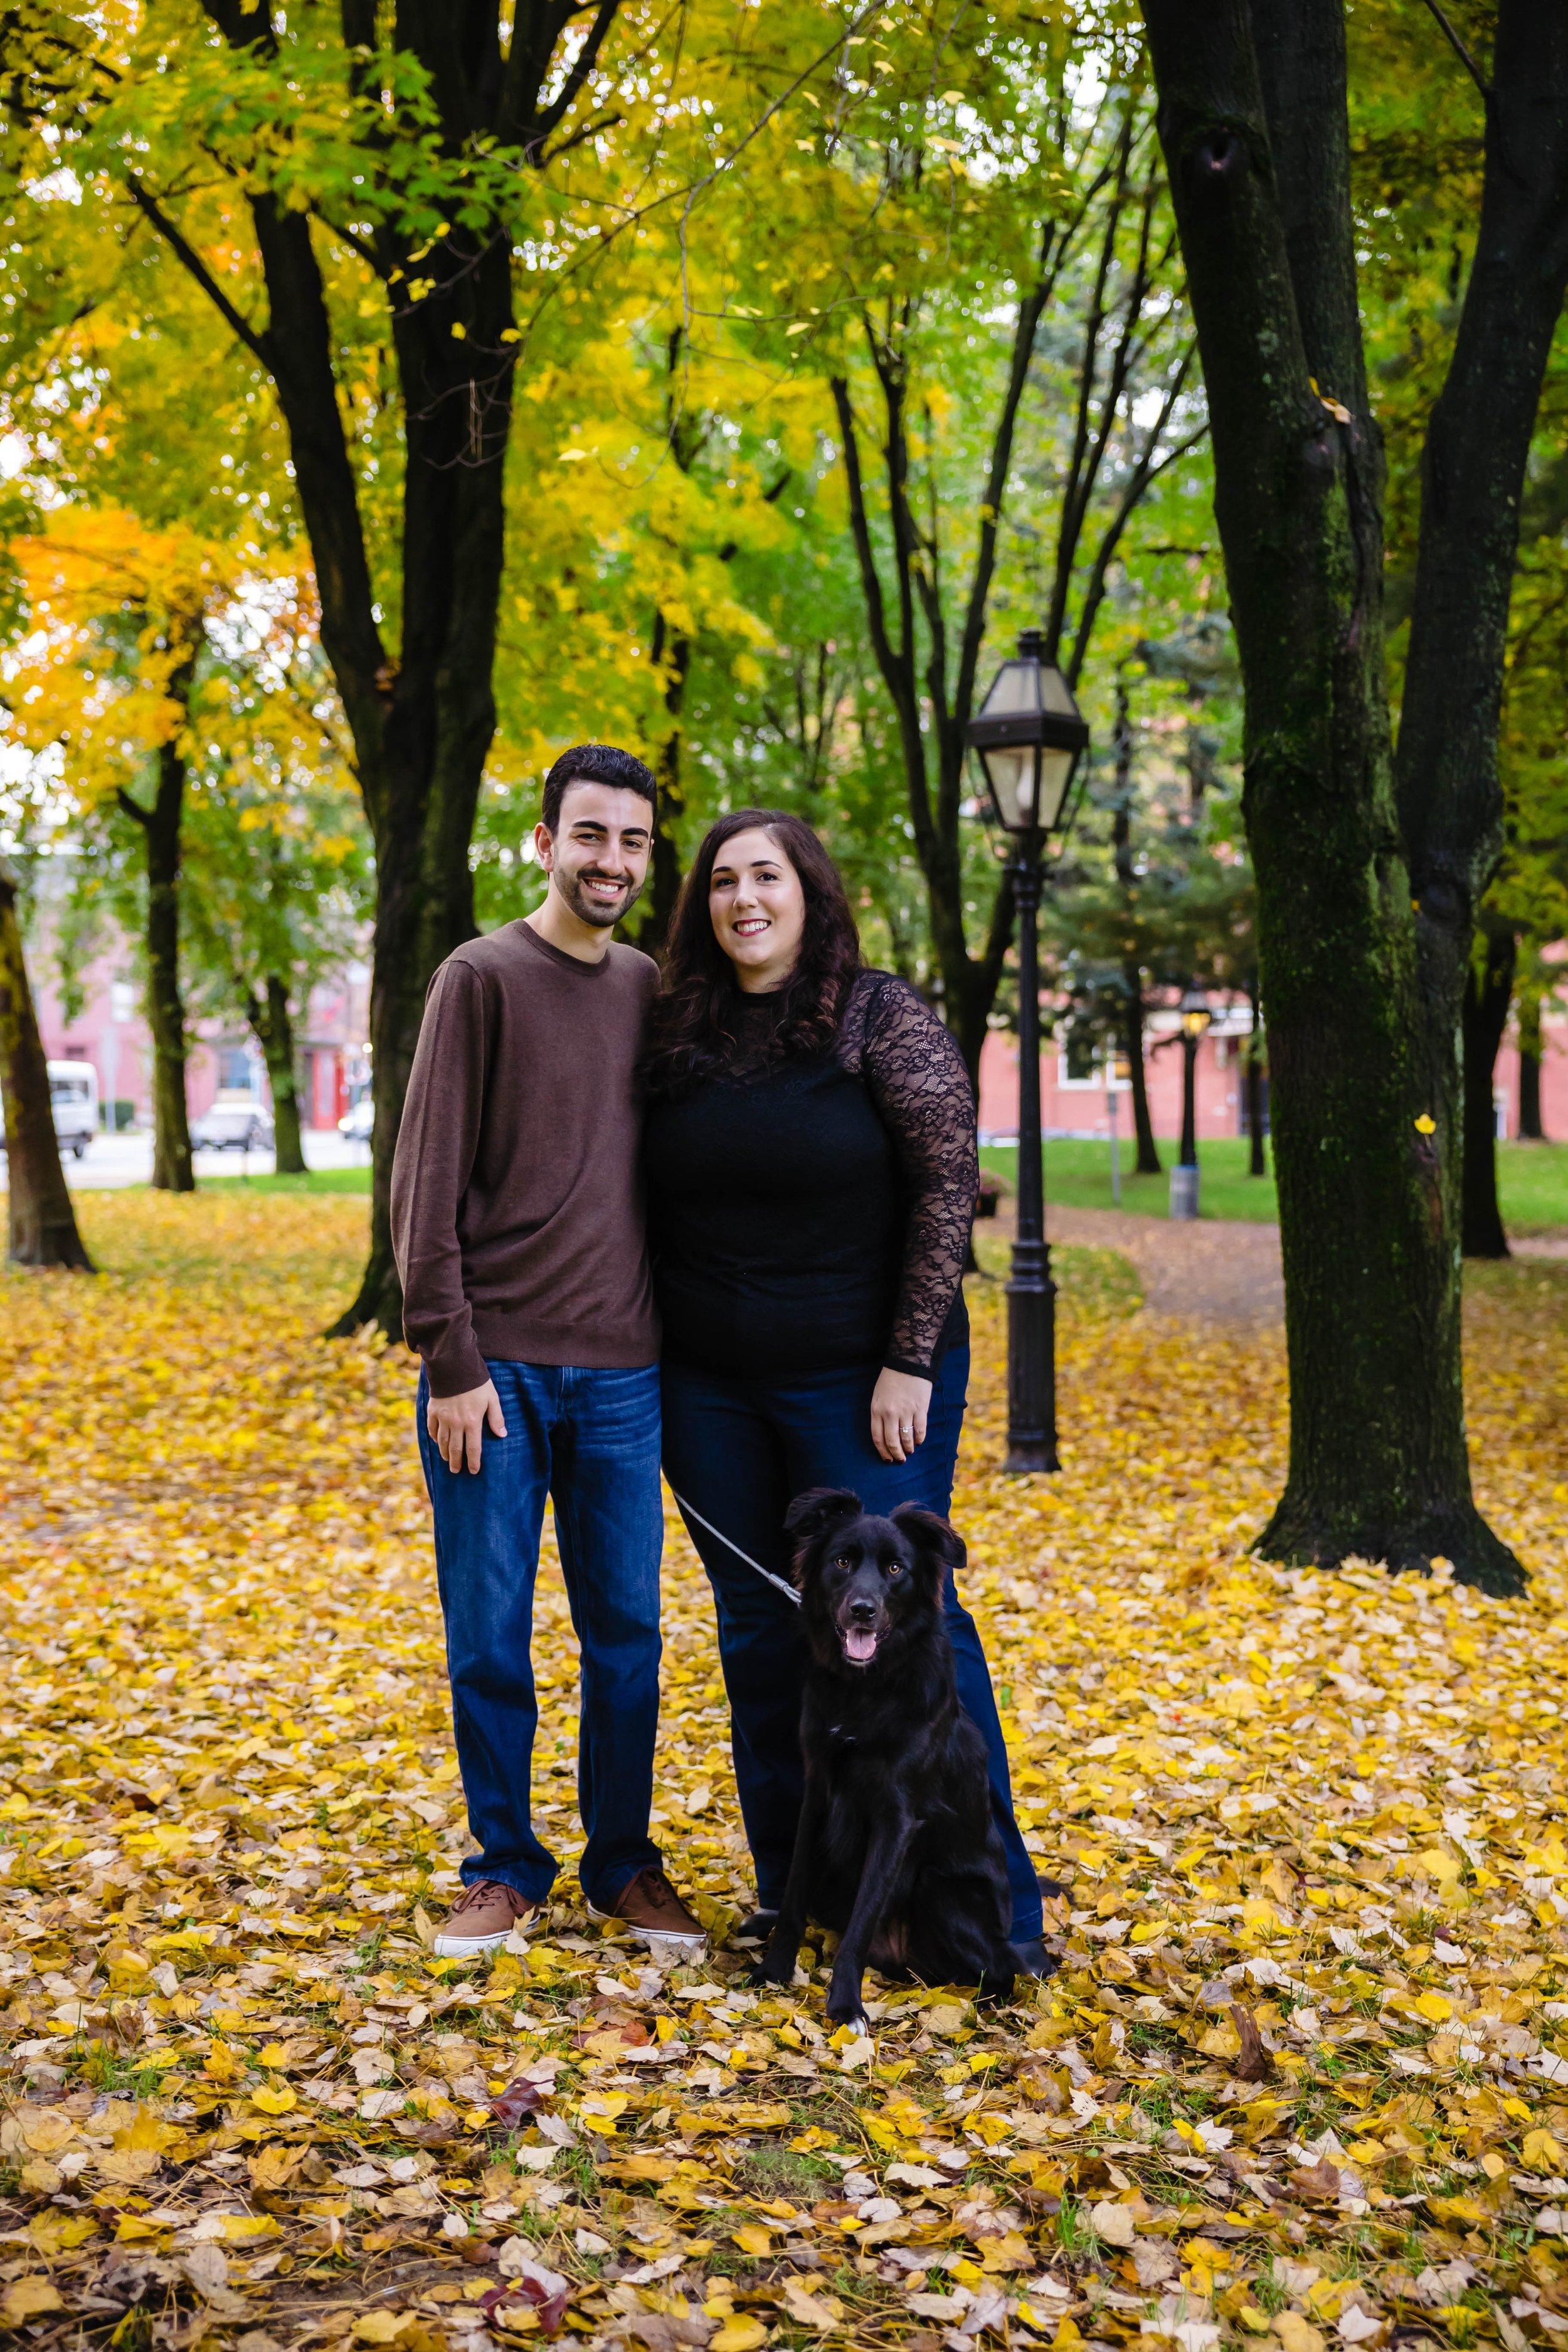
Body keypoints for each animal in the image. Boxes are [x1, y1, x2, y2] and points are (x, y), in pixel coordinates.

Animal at [756, 1486, 1025, 2023]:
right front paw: (773, 1971)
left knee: (1002, 1970)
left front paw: (845, 2006)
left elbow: (861, 1923)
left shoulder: (897, 1818)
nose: (863, 1610)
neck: (865, 1688)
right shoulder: (818, 1794)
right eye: (842, 1561)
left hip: (942, 1888)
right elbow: (793, 1896)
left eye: (896, 1569)